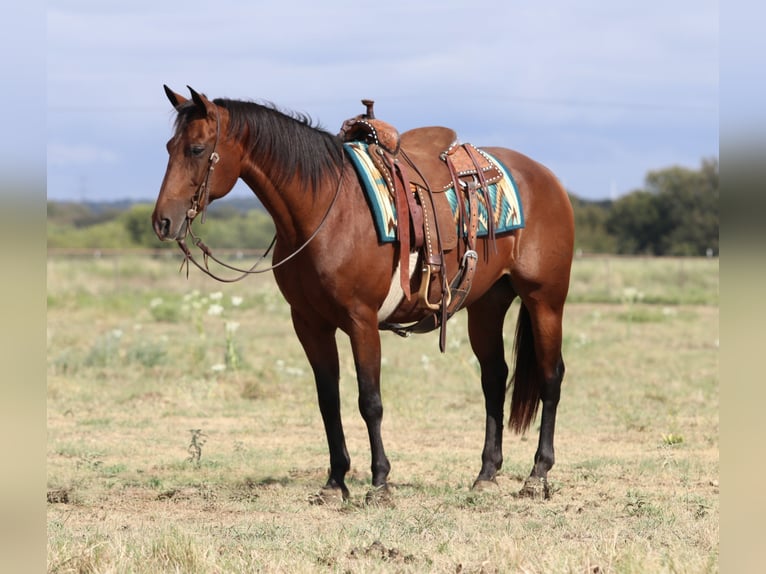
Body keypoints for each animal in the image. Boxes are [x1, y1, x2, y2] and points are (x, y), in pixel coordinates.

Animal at [152, 86, 574, 503]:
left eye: (196, 149)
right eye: (170, 146)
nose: (162, 222)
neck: (327, 210)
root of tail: (546, 177)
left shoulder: (362, 320)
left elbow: (369, 401)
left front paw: (380, 483)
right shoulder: (309, 323)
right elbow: (328, 400)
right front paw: (335, 482)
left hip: (545, 301)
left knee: (551, 378)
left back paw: (537, 475)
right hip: (487, 306)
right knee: (494, 378)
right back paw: (486, 474)